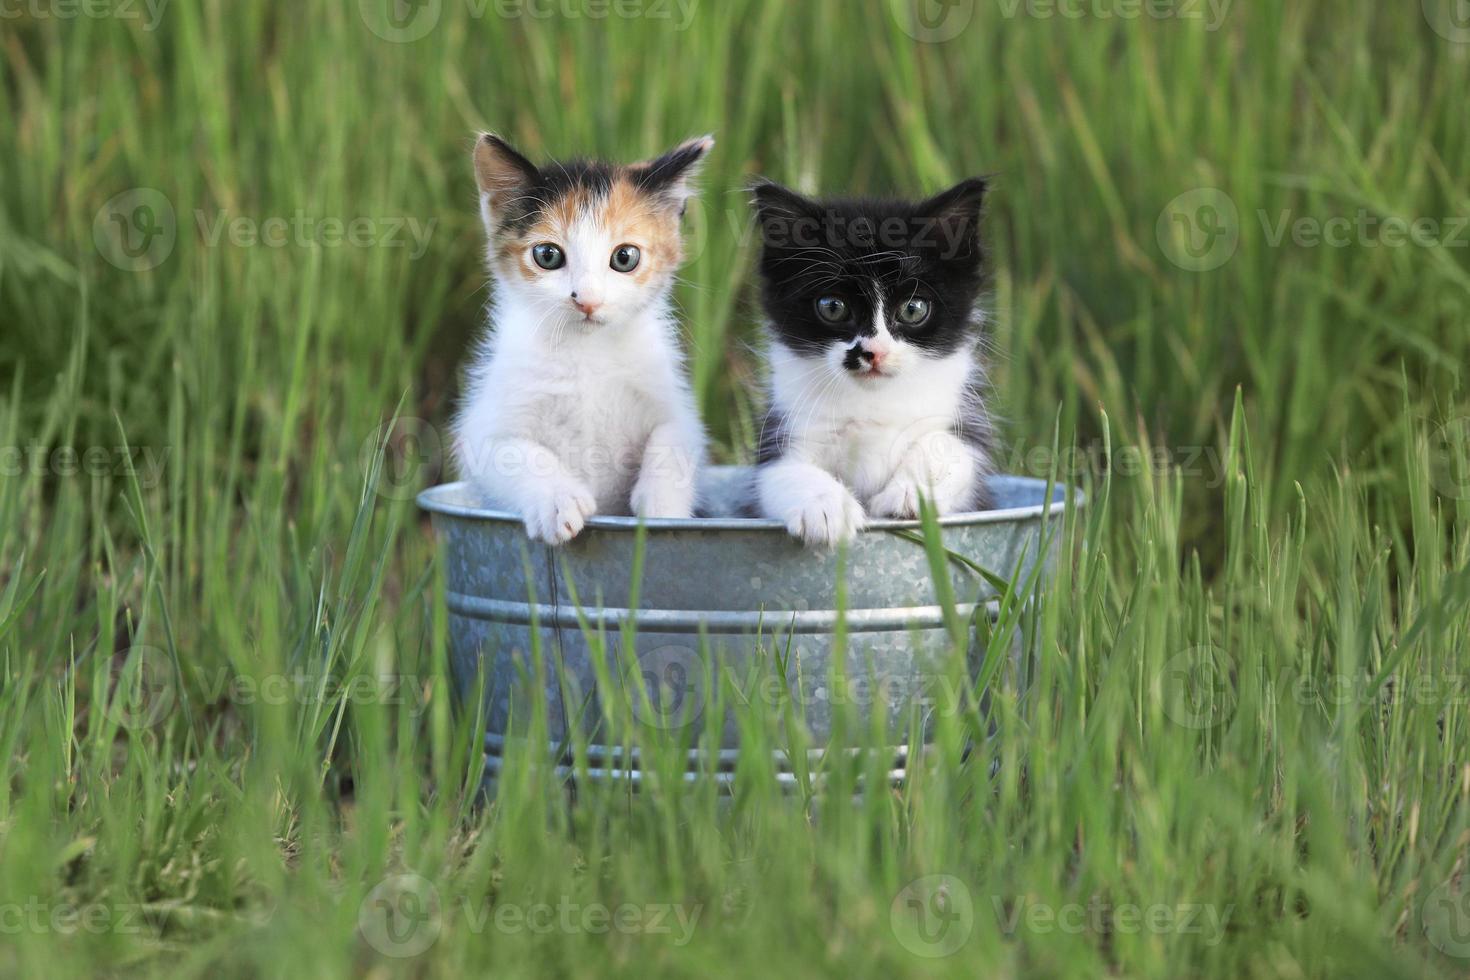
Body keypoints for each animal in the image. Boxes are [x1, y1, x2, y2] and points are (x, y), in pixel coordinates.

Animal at [455, 132, 714, 543]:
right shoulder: (483, 427)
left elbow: (674, 438)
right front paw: (559, 501)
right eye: (547, 255)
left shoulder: (673, 404)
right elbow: (510, 451)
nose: (588, 300)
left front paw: (662, 507)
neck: (587, 351)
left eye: (625, 257)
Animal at [752, 176, 993, 543]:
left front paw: (910, 495)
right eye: (833, 307)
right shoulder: (784, 430)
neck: (872, 402)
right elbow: (783, 472)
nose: (874, 352)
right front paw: (826, 507)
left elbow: (950, 447)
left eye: (913, 309)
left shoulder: (957, 422)